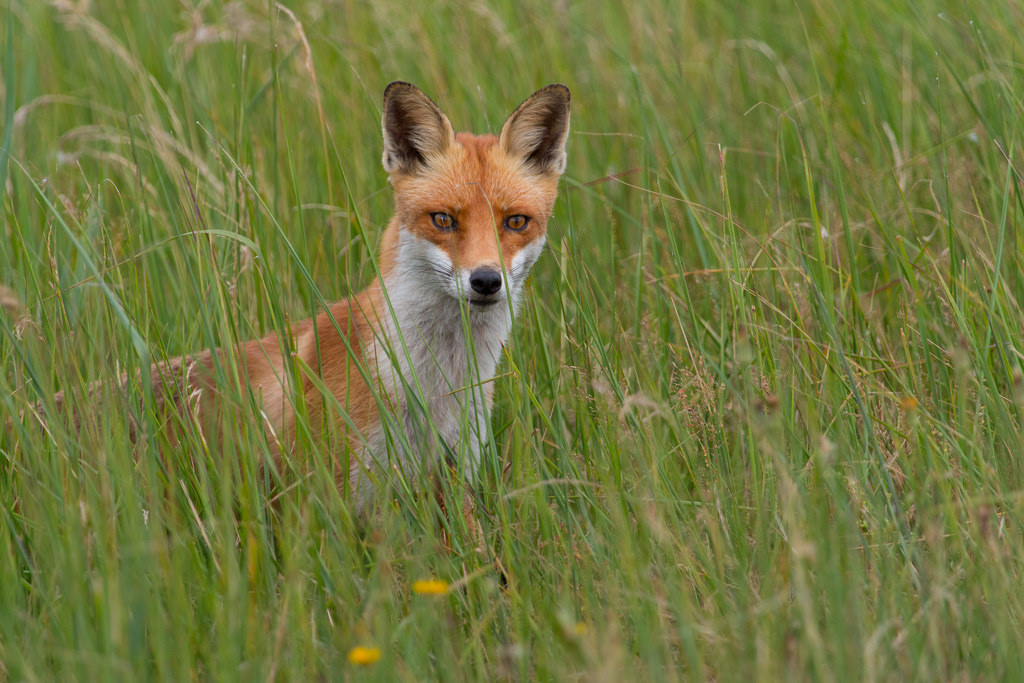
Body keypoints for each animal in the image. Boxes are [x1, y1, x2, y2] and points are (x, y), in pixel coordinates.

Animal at [41, 81, 571, 509]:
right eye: (443, 219)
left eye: (515, 222)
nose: (485, 281)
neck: (432, 386)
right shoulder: (338, 501)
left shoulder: (452, 479)